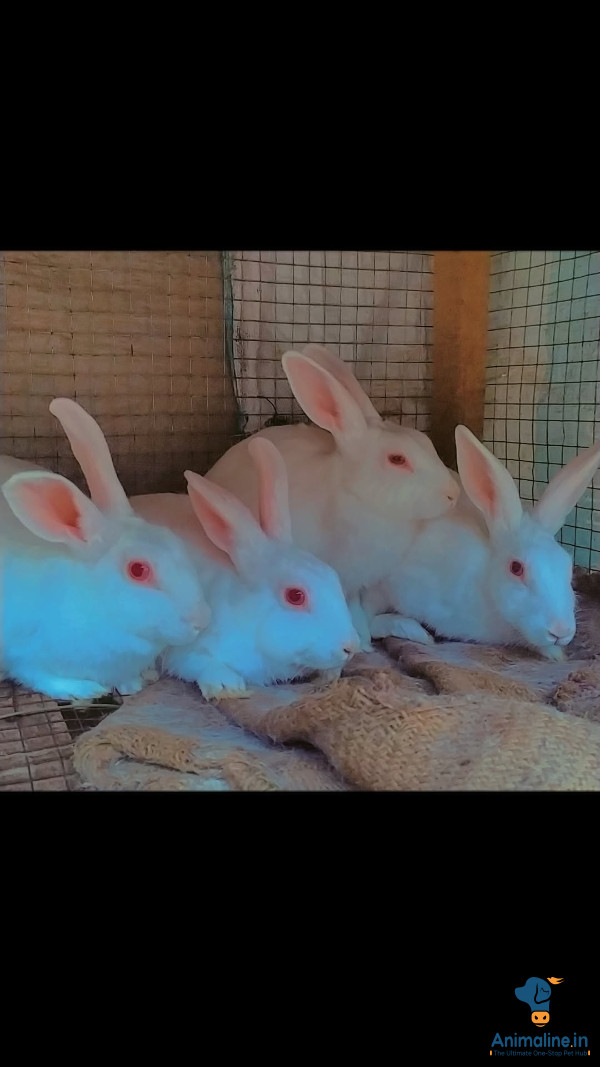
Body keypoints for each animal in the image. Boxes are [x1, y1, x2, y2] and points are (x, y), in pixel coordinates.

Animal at [0, 398, 210, 701]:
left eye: (175, 541)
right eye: (138, 570)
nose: (202, 620)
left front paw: (134, 684)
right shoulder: (26, 655)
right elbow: (40, 676)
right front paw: (85, 690)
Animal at [131, 436, 361, 700]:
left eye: (334, 578)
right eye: (295, 596)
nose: (351, 647)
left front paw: (330, 674)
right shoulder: (192, 648)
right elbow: (200, 664)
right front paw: (227, 687)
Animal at [205, 344, 460, 650]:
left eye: (427, 443)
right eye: (397, 459)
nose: (454, 494)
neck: (356, 497)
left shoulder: (357, 585)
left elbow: (357, 612)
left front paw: (367, 640)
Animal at [360, 424, 600, 661]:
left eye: (568, 566)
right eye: (516, 568)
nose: (561, 630)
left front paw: (556, 653)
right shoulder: (382, 585)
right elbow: (367, 621)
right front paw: (412, 631)